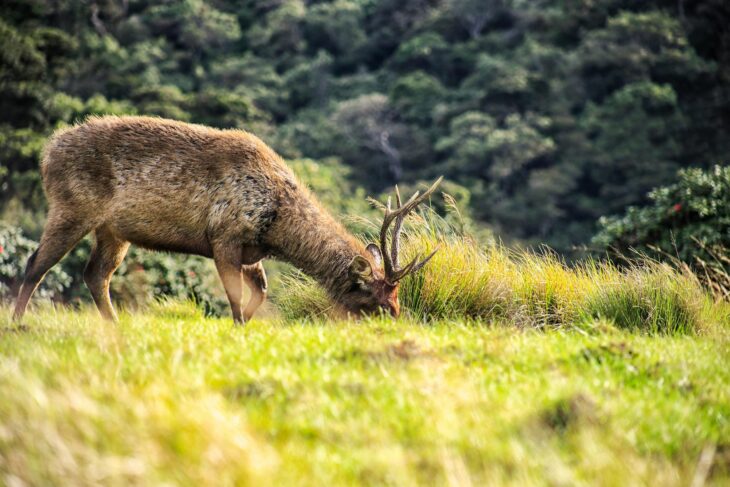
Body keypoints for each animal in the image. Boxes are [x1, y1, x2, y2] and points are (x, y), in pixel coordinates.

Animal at [14, 115, 440, 324]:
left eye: (396, 293)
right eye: (376, 295)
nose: (398, 317)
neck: (276, 224)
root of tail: (46, 153)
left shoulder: (252, 249)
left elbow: (261, 291)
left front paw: (247, 324)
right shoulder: (224, 236)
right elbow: (234, 296)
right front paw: (239, 327)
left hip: (113, 230)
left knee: (95, 274)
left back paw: (114, 324)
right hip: (72, 207)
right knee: (36, 263)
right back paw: (19, 323)